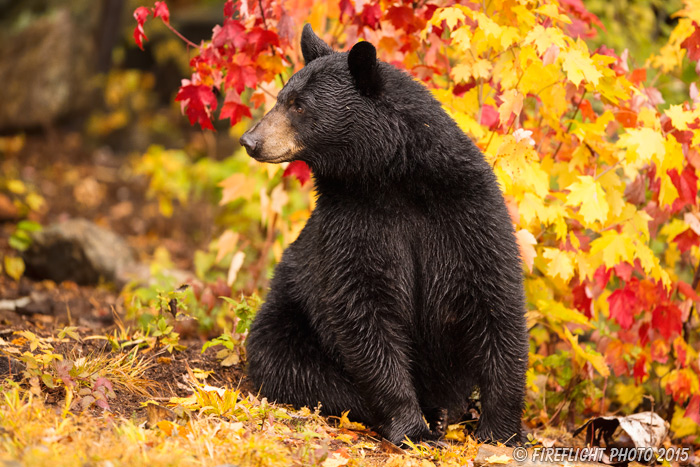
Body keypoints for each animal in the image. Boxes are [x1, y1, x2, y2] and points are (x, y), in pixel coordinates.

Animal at [239, 24, 524, 446]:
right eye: (281, 98)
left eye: (299, 105)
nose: (250, 141)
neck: (392, 175)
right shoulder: (353, 220)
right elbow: (363, 305)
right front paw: (412, 426)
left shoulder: (468, 210)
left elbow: (495, 297)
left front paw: (501, 432)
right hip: (286, 317)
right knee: (296, 366)